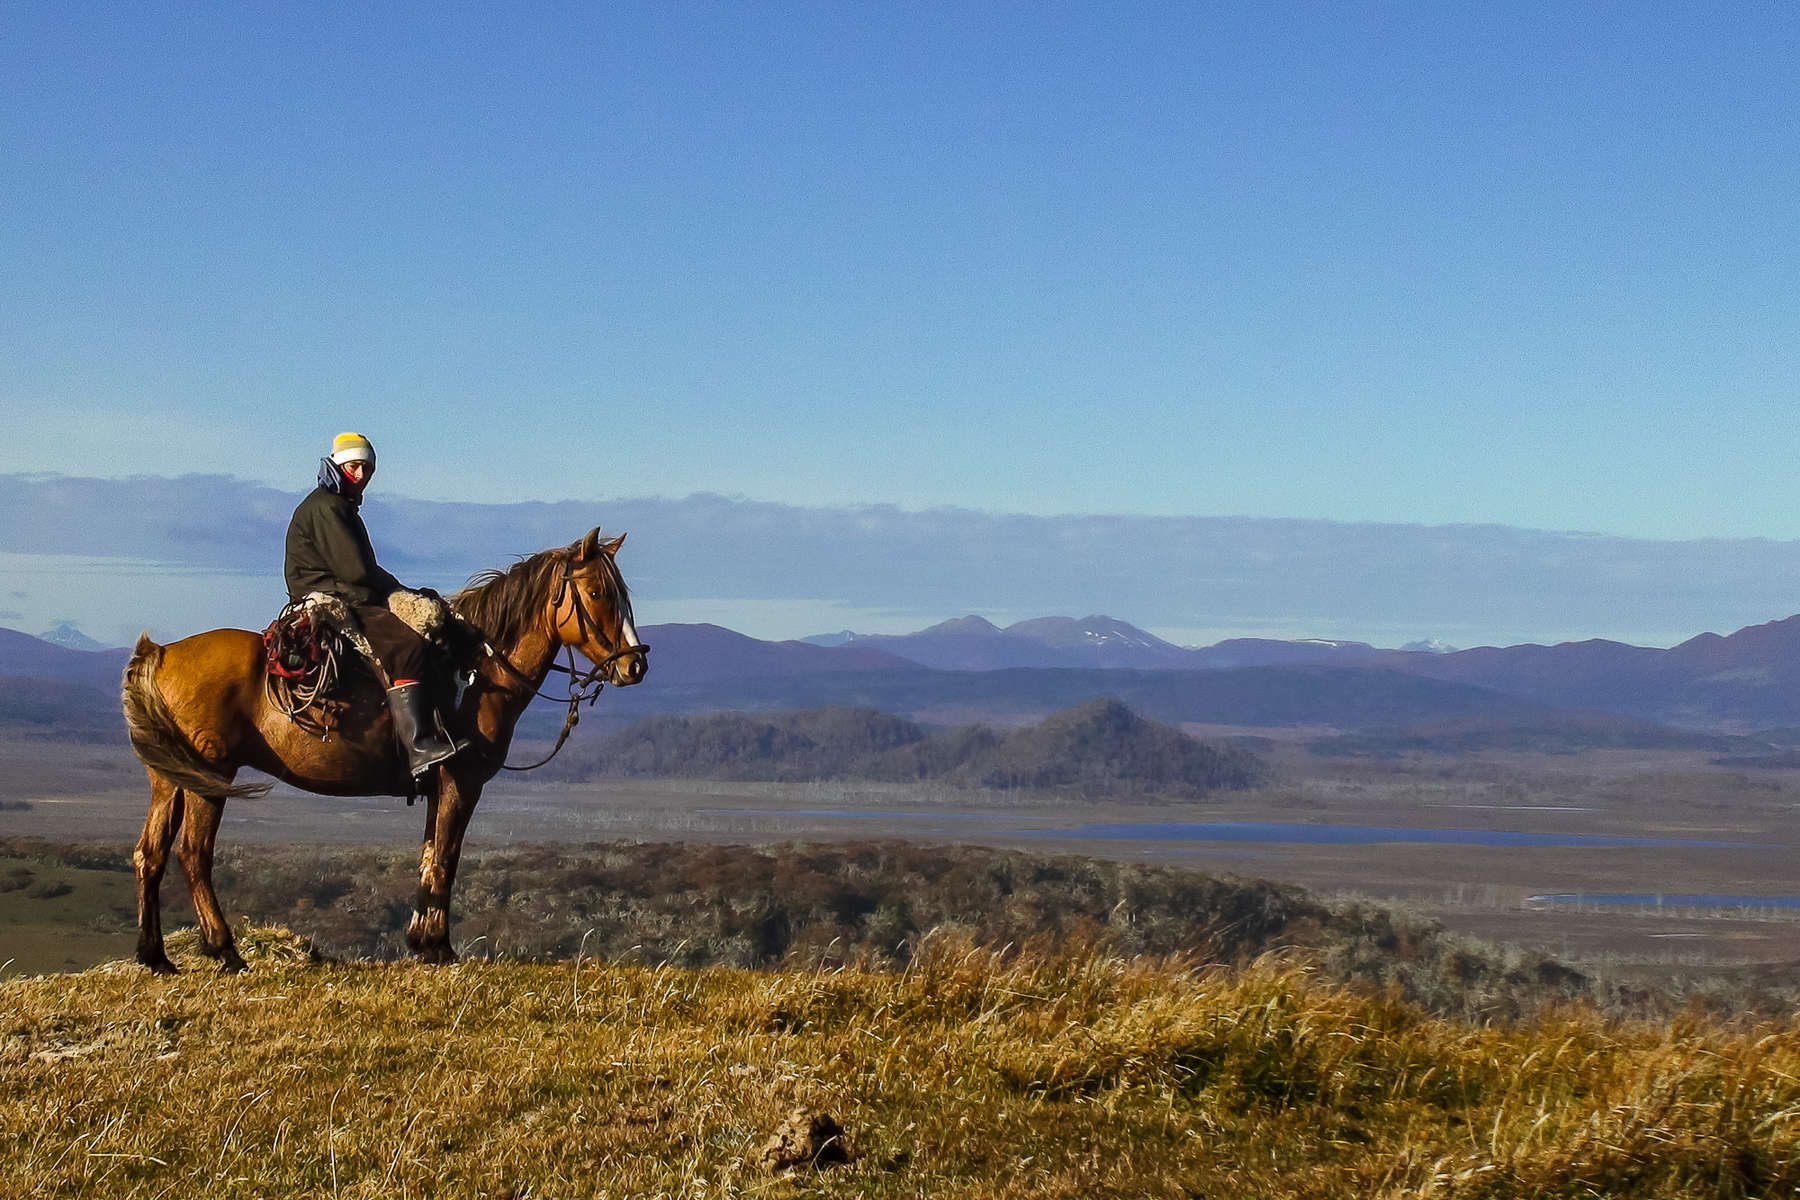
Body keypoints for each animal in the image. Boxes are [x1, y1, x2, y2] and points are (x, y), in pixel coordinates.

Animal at [116, 528, 648, 978]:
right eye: (597, 593)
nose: (635, 666)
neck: (475, 674)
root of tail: (162, 653)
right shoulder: (461, 783)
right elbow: (446, 858)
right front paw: (439, 948)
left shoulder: (438, 785)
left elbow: (429, 854)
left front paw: (422, 942)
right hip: (210, 777)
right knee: (193, 854)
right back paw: (224, 950)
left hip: (172, 779)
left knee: (150, 853)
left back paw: (155, 957)